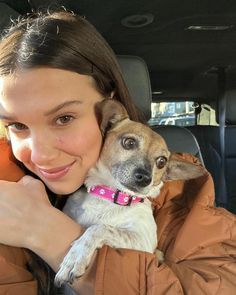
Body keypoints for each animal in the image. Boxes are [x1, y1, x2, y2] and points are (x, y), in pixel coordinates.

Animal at [54, 99, 205, 286]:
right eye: (129, 143)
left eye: (162, 162)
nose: (145, 178)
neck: (110, 195)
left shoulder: (143, 242)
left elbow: (99, 228)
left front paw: (76, 257)